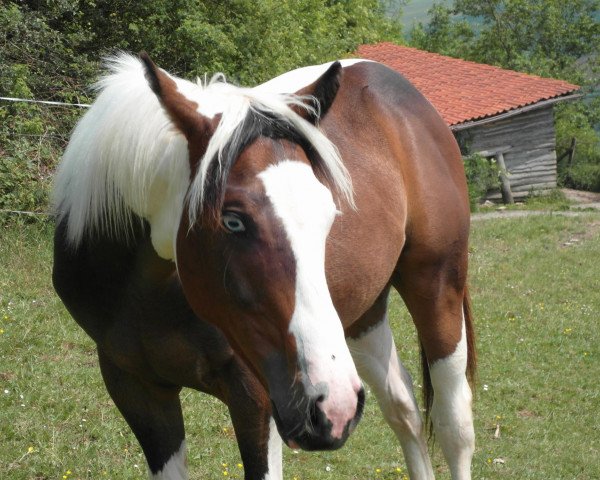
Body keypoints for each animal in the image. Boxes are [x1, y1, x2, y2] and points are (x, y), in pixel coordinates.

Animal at [54, 53, 478, 480]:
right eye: (233, 221)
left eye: (329, 215)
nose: (333, 405)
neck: (144, 295)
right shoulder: (137, 389)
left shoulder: (256, 397)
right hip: (364, 314)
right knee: (403, 408)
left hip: (437, 285)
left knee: (454, 424)